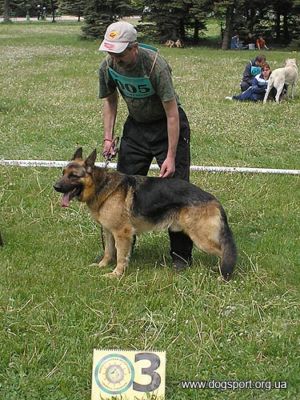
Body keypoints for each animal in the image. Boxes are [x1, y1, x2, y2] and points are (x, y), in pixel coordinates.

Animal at [53, 148, 237, 280]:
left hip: (202, 239)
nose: (55, 187)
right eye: (63, 173)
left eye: (73, 176)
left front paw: (116, 274)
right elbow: (109, 252)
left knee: (226, 252)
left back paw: (224, 274)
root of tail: (214, 200)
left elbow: (120, 256)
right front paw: (102, 266)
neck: (101, 185)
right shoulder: (108, 231)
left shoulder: (122, 233)